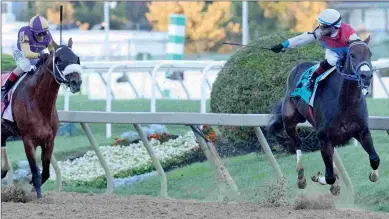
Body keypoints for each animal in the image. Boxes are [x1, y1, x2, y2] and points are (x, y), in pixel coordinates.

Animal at [0, 38, 82, 198]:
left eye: (77, 58)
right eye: (59, 60)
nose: (76, 82)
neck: (38, 102)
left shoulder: (49, 141)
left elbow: (45, 173)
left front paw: (30, 184)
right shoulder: (28, 140)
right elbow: (36, 172)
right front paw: (36, 194)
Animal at [266, 36, 378, 195]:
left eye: (370, 54)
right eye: (352, 55)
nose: (366, 76)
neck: (344, 102)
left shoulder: (362, 132)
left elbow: (374, 159)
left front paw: (373, 174)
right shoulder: (324, 139)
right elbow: (329, 176)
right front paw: (320, 178)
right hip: (289, 120)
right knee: (297, 143)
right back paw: (301, 176)